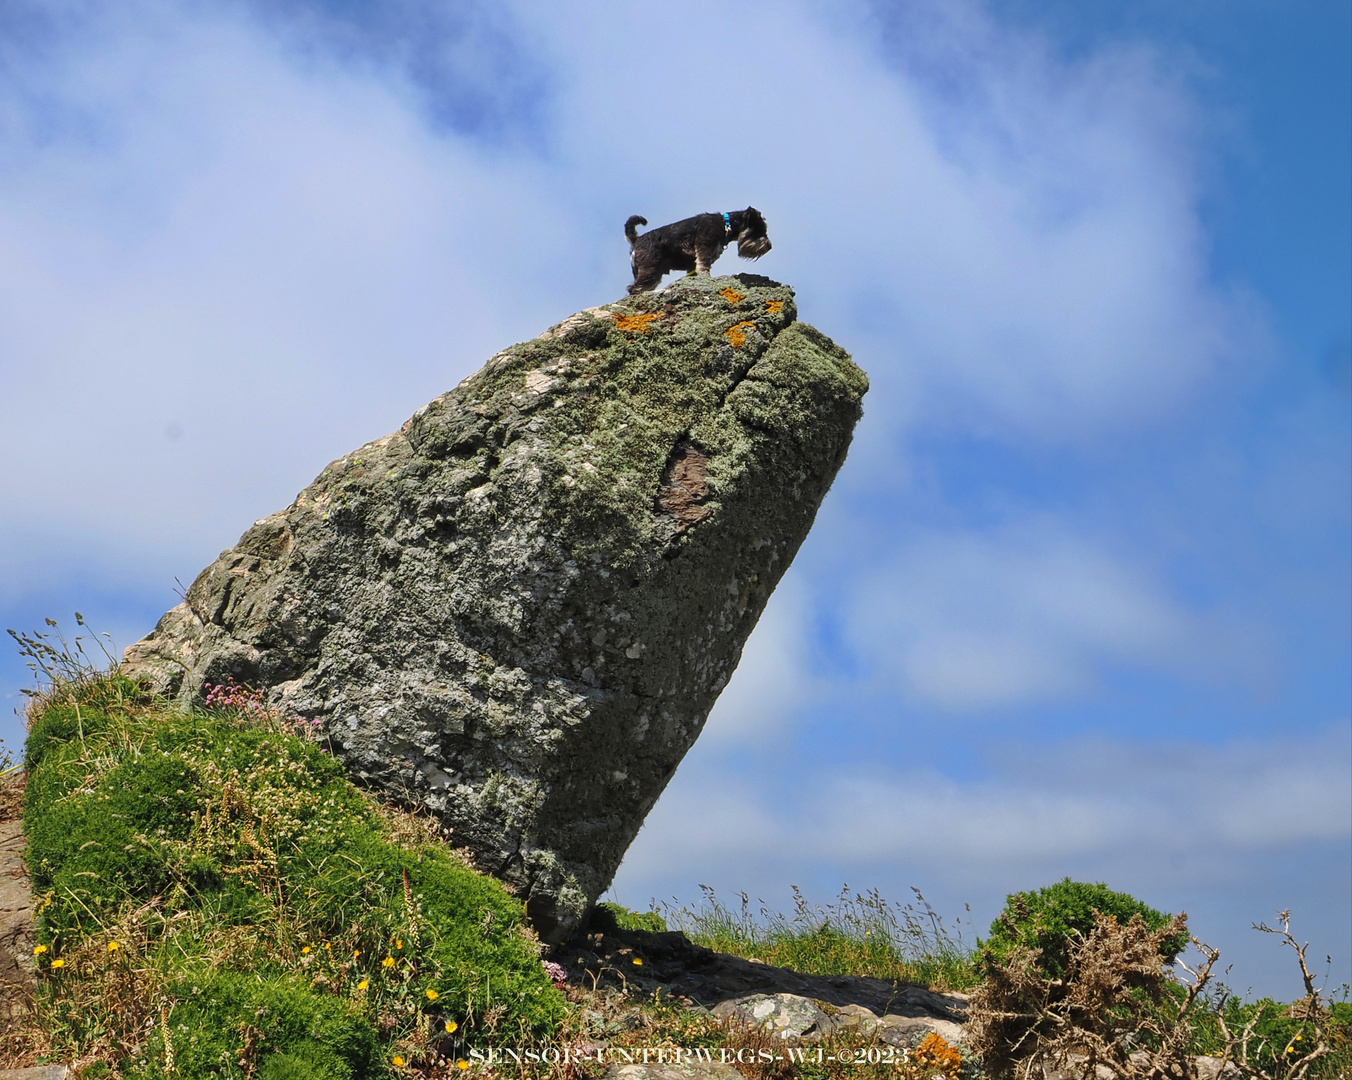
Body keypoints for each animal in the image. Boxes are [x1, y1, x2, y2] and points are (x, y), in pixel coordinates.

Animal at [621, 208, 773, 296]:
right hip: (650, 269)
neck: (726, 225)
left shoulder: (692, 265)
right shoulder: (703, 247)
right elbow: (703, 267)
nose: (769, 246)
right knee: (634, 288)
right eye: (760, 230)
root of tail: (636, 240)